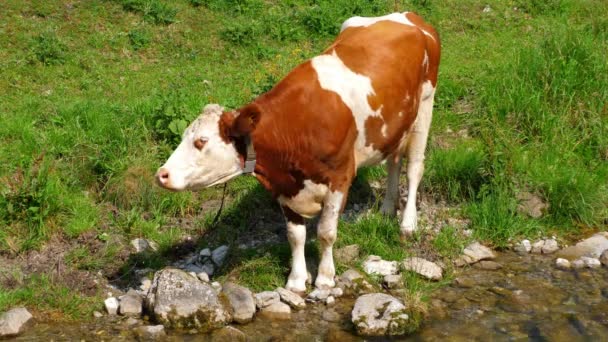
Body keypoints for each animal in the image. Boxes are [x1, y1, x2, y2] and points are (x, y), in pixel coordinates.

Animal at [156, 12, 442, 292]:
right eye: (185, 136)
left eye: (201, 141)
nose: (162, 174)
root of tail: (409, 16)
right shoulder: (284, 186)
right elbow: (295, 236)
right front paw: (296, 280)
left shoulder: (339, 178)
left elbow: (326, 232)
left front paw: (325, 277)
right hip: (396, 125)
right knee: (394, 161)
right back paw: (386, 209)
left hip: (425, 107)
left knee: (414, 167)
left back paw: (407, 223)